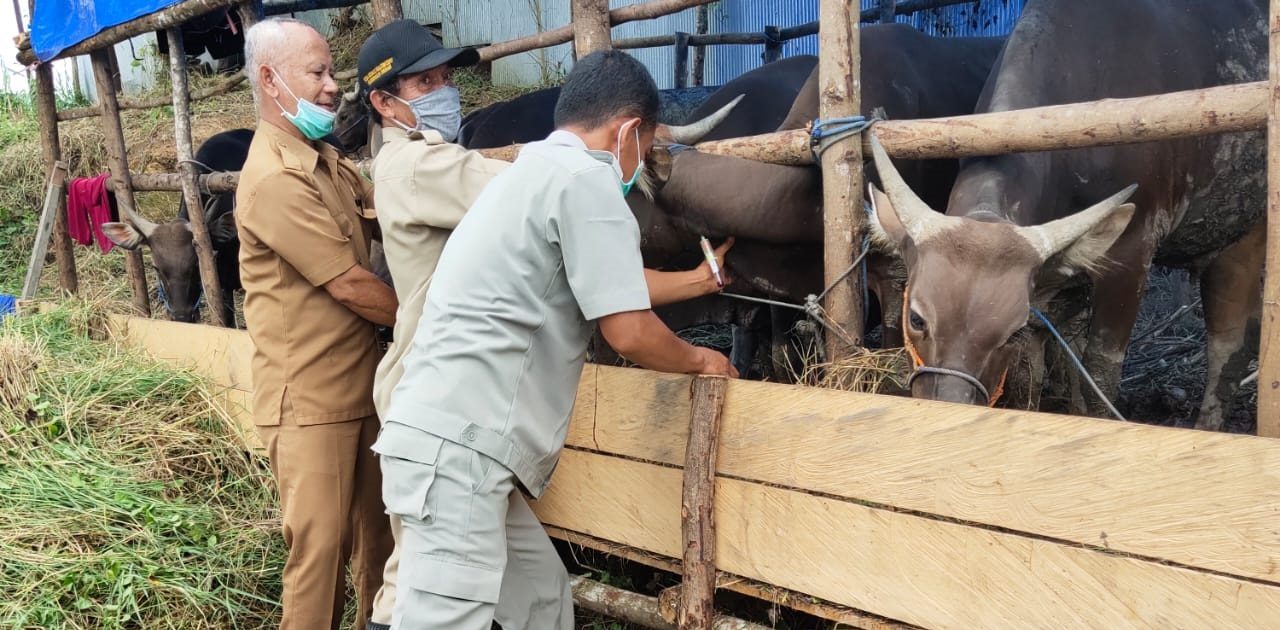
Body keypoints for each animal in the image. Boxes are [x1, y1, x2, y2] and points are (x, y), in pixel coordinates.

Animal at [865, 0, 1264, 430]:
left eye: (1011, 333)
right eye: (917, 318)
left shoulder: (1132, 253)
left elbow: (1099, 376)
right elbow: (1034, 376)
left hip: (1242, 239)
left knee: (1228, 349)